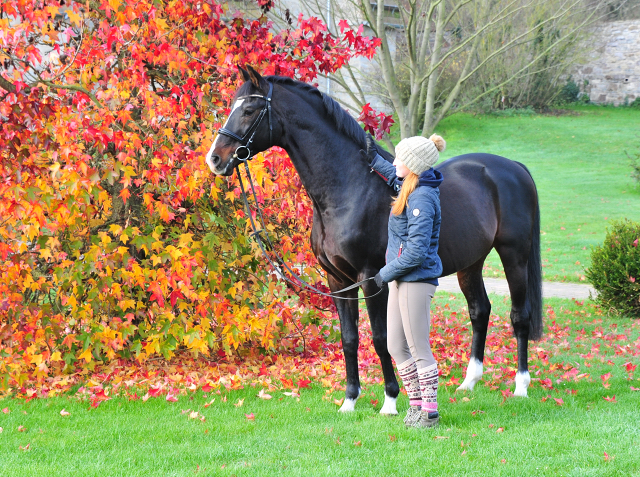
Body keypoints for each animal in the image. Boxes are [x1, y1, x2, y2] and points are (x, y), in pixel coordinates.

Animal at [206, 67, 544, 412]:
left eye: (249, 110)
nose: (215, 159)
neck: (348, 190)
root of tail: (514, 167)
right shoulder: (338, 280)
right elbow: (349, 338)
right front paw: (349, 400)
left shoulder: (371, 276)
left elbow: (381, 339)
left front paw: (390, 401)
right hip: (471, 262)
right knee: (479, 310)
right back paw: (469, 382)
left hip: (514, 256)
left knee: (520, 316)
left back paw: (521, 386)